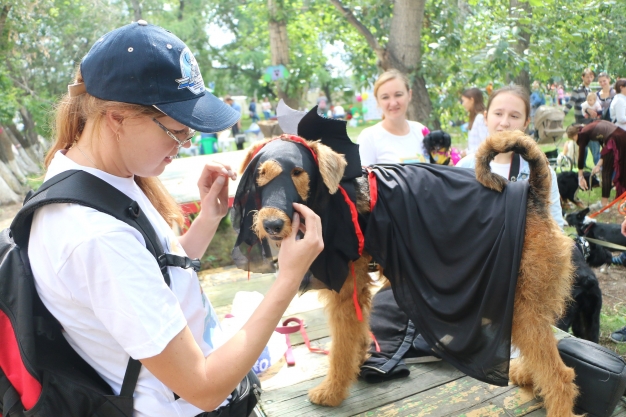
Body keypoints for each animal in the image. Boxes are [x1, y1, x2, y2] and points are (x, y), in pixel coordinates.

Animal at [228, 109, 576, 412]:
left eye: (298, 173)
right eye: (260, 175)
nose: (272, 224)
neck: (336, 197)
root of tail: (535, 194)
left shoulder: (345, 290)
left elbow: (341, 346)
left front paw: (332, 391)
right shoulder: (356, 289)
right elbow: (356, 337)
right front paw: (358, 364)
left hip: (521, 304)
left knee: (561, 376)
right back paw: (525, 374)